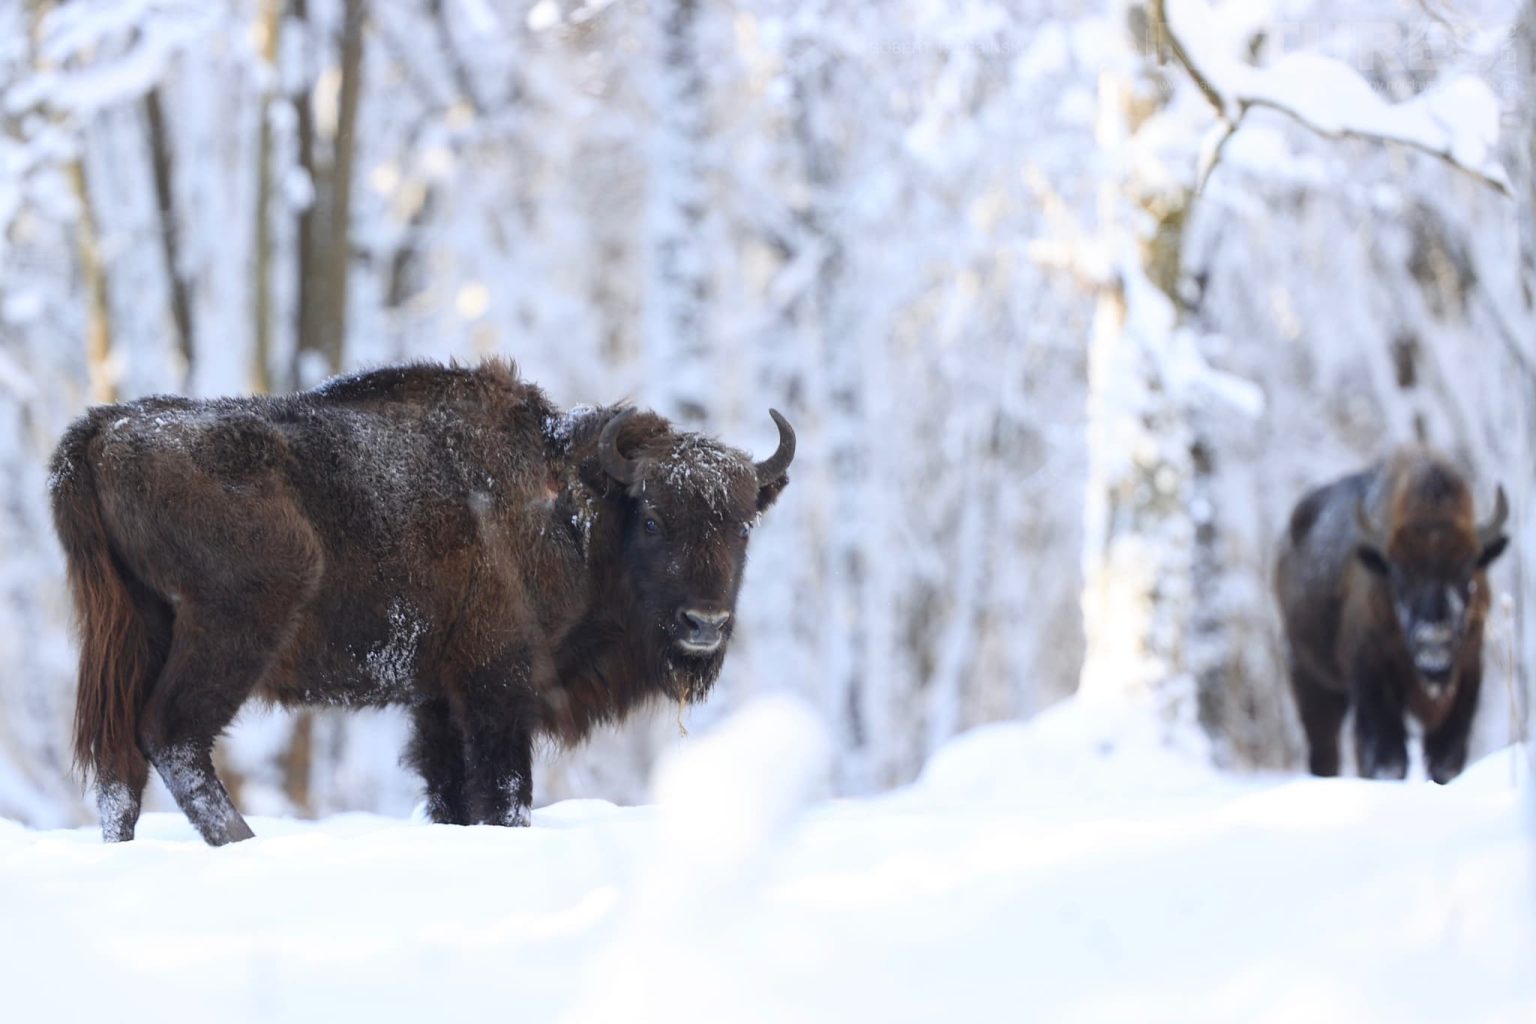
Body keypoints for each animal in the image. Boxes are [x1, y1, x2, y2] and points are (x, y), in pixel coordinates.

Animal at [50, 360, 794, 844]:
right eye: (655, 520)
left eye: (742, 526)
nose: (704, 623)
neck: (572, 504)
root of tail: (103, 432)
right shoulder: (500, 687)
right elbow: (504, 795)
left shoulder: (438, 700)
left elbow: (451, 795)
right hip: (233, 628)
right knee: (172, 736)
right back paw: (243, 841)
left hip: (131, 631)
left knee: (117, 761)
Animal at [1274, 448, 1508, 783]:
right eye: (1399, 573)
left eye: (1467, 569)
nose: (1433, 642)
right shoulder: (1373, 676)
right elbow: (1389, 759)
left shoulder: (1467, 674)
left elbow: (1446, 759)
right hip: (1310, 677)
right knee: (1325, 749)